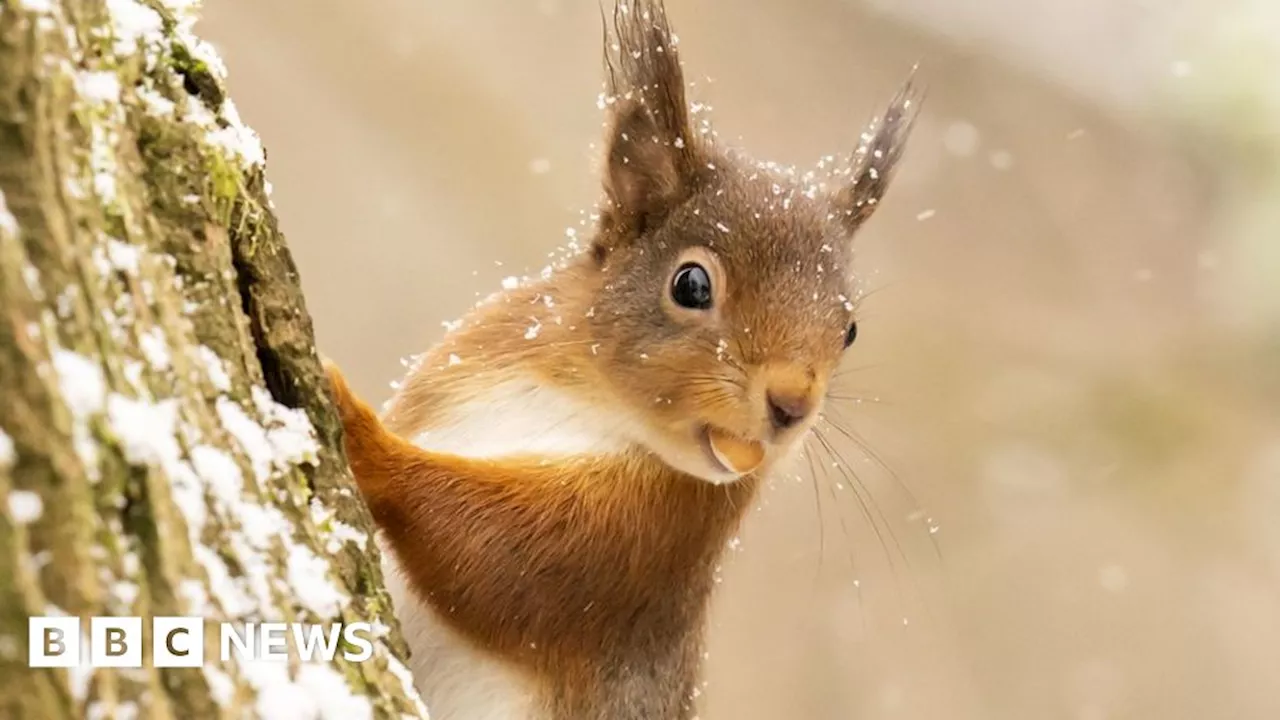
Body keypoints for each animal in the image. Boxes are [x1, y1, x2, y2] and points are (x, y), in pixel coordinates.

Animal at [325, 2, 916, 712]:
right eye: (692, 285)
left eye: (848, 329)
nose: (792, 403)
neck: (585, 399)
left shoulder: (643, 546)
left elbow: (495, 555)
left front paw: (356, 423)